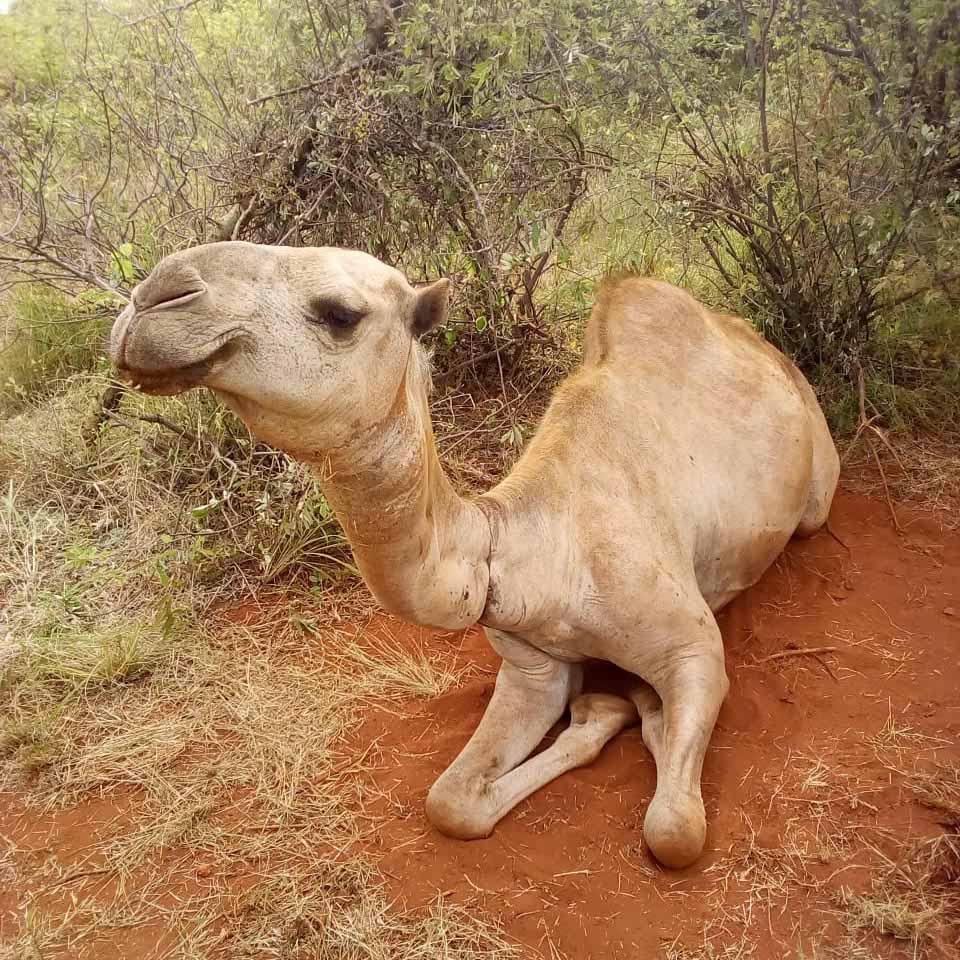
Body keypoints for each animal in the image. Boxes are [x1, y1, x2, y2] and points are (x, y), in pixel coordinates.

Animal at [109, 242, 836, 872]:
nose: (152, 298)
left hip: (815, 493)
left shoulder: (693, 649)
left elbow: (674, 829)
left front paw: (639, 713)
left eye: (340, 313)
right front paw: (609, 710)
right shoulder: (532, 664)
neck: (535, 550)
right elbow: (450, 802)